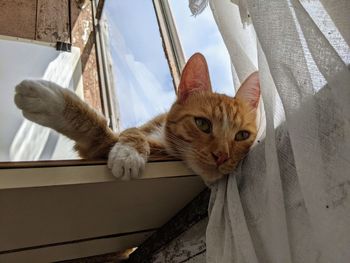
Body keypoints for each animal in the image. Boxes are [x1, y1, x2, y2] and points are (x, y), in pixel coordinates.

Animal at [14, 53, 260, 185]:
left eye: (242, 135)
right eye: (203, 124)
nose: (222, 156)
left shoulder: (102, 146)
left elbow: (103, 132)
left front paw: (127, 153)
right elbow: (128, 130)